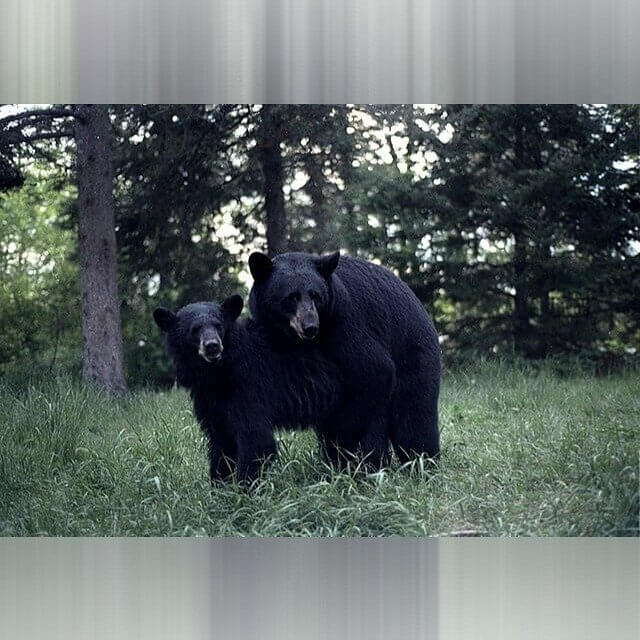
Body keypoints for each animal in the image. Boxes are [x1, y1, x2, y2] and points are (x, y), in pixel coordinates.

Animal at [153, 296, 340, 484]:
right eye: (195, 329)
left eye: (218, 325)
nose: (212, 346)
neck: (217, 373)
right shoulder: (209, 400)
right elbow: (221, 442)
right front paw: (219, 485)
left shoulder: (249, 387)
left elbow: (256, 439)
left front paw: (243, 488)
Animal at [248, 251, 441, 468]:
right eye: (291, 297)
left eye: (315, 295)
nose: (310, 327)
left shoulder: (345, 325)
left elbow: (375, 369)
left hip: (413, 354)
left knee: (413, 419)